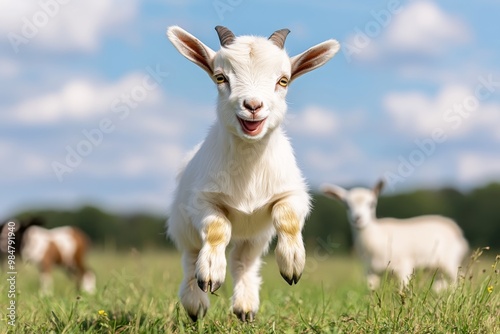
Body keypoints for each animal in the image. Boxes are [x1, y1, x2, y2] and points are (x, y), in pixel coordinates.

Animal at [167, 24, 340, 322]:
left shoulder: (292, 193)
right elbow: (217, 230)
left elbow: (288, 218)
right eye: (220, 77)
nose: (253, 106)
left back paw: (245, 307)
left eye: (283, 81)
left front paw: (293, 263)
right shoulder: (203, 200)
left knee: (243, 261)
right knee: (191, 256)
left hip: (256, 235)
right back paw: (195, 303)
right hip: (183, 225)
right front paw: (210, 273)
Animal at [322, 179, 470, 290]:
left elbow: (402, 288)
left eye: (371, 204)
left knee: (455, 280)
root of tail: (454, 227)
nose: (357, 219)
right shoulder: (369, 271)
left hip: (450, 261)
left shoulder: (404, 265)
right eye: (346, 205)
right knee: (441, 283)